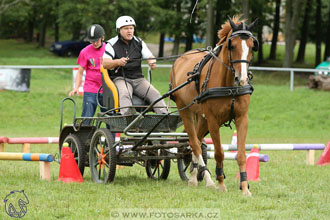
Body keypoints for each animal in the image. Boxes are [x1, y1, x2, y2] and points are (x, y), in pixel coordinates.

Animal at [170, 17, 258, 196]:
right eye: (232, 46)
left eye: (252, 46)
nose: (242, 79)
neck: (229, 86)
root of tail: (181, 58)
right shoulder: (213, 120)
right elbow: (218, 153)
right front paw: (221, 183)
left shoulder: (242, 118)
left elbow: (241, 154)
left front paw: (245, 187)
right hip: (186, 111)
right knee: (194, 142)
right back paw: (207, 180)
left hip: (201, 118)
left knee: (197, 140)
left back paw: (194, 175)